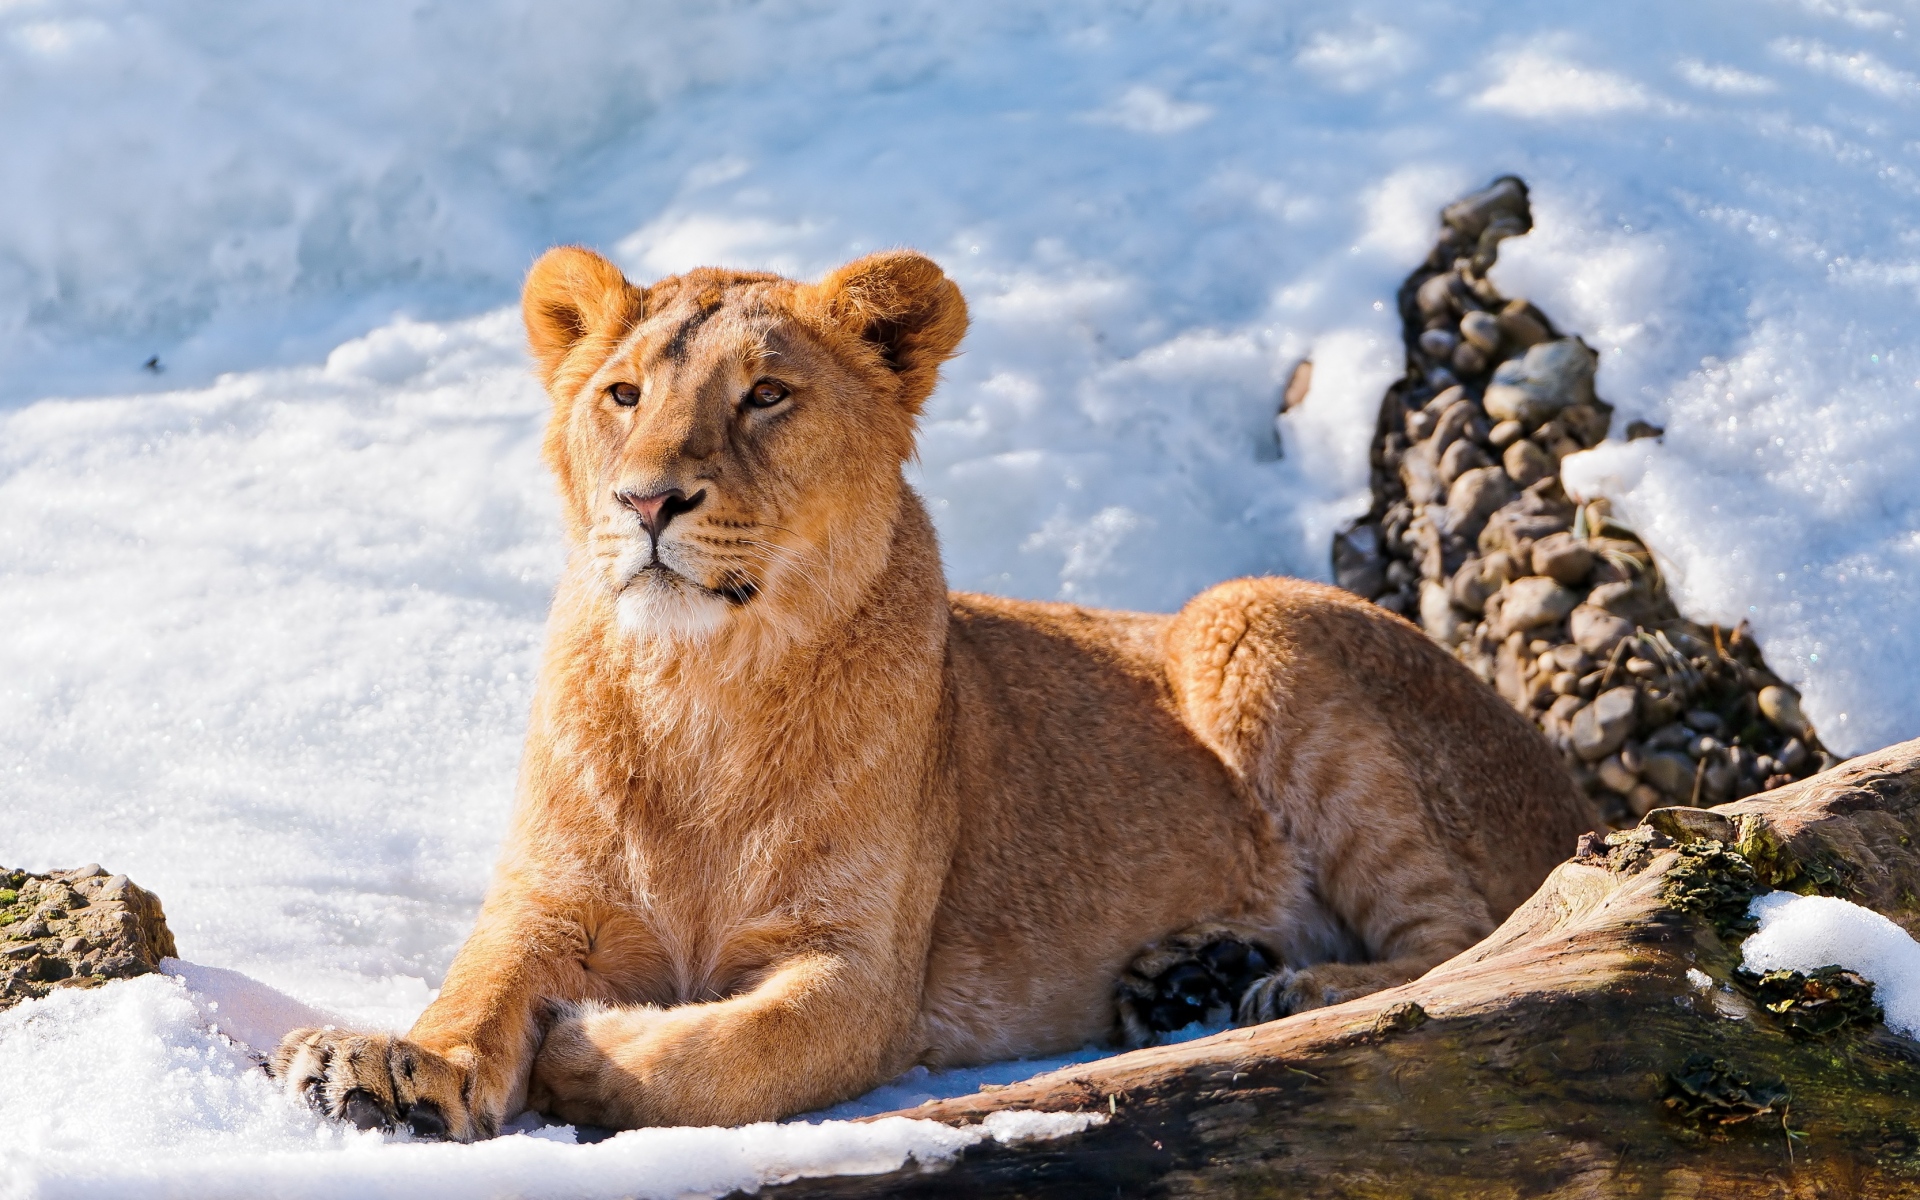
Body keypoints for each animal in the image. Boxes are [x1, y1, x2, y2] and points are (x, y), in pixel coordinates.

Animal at [269, 247, 1596, 1139]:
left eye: (765, 395)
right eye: (624, 395)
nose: (646, 501)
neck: (699, 686)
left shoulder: (863, 973)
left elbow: (728, 1056)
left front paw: (592, 1048)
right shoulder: (548, 902)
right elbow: (477, 986)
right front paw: (387, 1066)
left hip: (1246, 615)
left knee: (1470, 941)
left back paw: (1286, 988)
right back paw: (1190, 980)